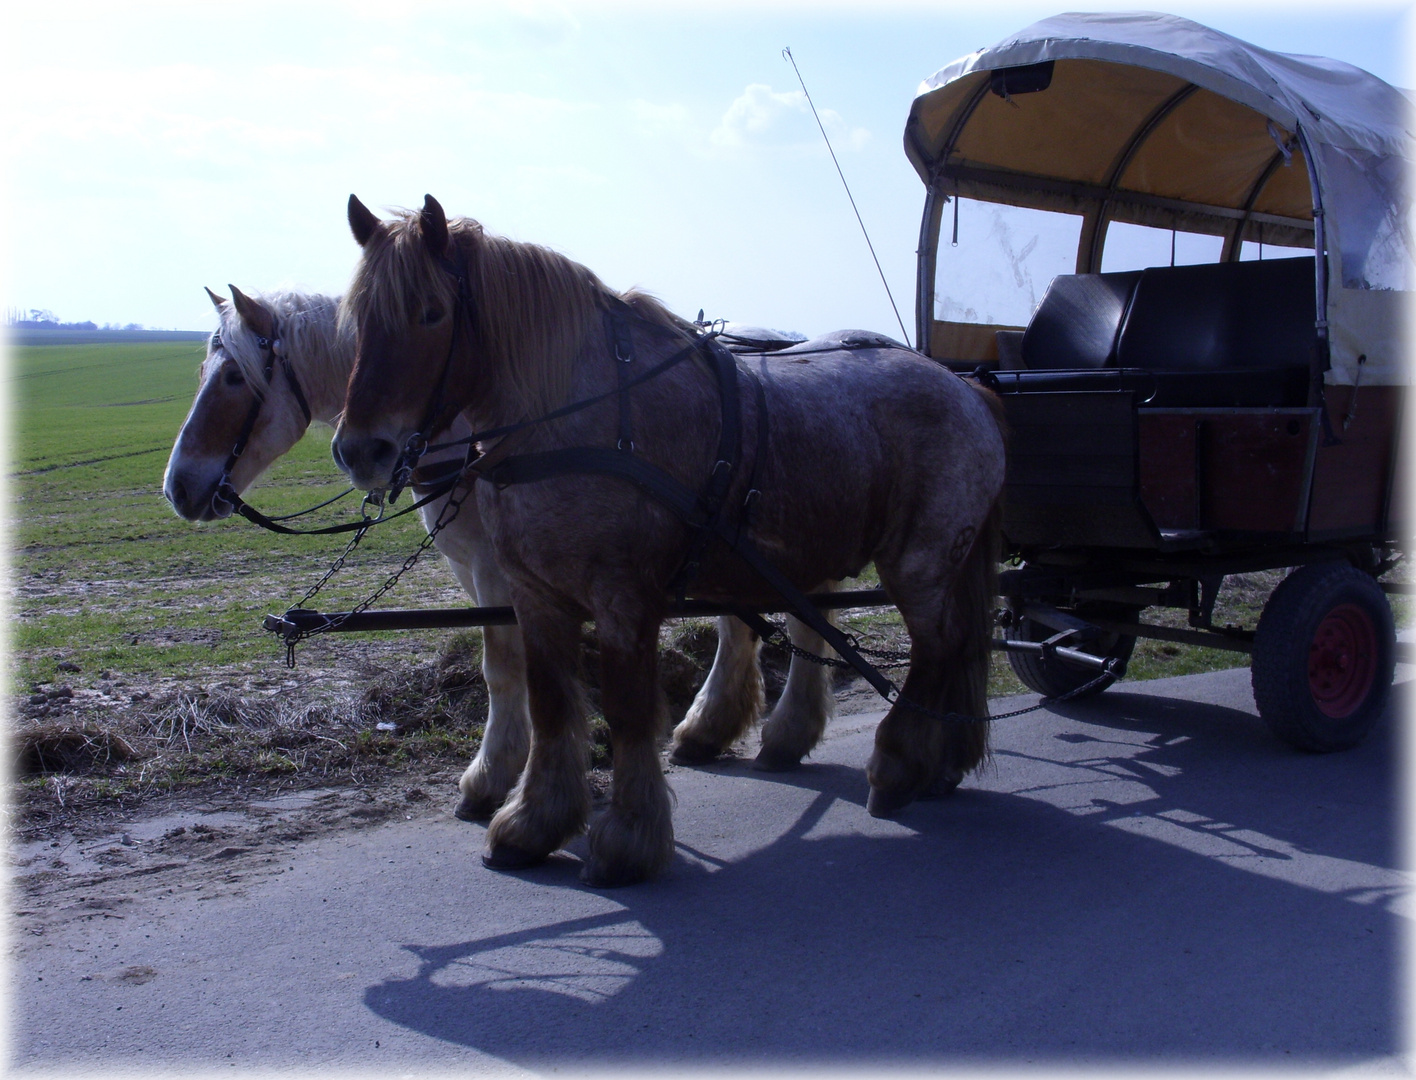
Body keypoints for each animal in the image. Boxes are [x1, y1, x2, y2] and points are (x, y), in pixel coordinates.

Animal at [160, 287, 838, 820]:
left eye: (233, 377)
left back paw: (776, 730)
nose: (179, 487)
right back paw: (715, 728)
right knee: (751, 620)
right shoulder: (474, 567)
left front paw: (494, 775)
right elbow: (512, 663)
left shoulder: (500, 567)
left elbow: (505, 668)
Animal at [334, 193, 1008, 888]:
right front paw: (535, 823)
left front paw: (629, 839)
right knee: (943, 644)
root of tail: (963, 386)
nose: (360, 451)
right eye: (357, 320)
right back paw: (934, 759)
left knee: (939, 648)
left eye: (431, 312)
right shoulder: (534, 596)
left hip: (921, 565)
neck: (584, 417)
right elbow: (550, 705)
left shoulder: (623, 601)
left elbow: (629, 712)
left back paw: (899, 765)